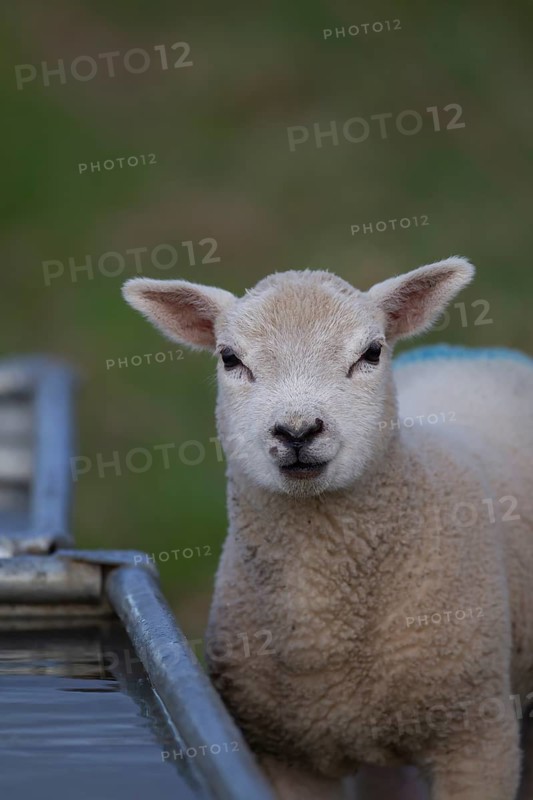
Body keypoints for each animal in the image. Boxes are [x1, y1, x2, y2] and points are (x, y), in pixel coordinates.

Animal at [123, 258, 533, 800]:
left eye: (372, 352)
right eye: (230, 358)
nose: (297, 431)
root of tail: (469, 353)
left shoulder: (476, 738)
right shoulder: (285, 753)